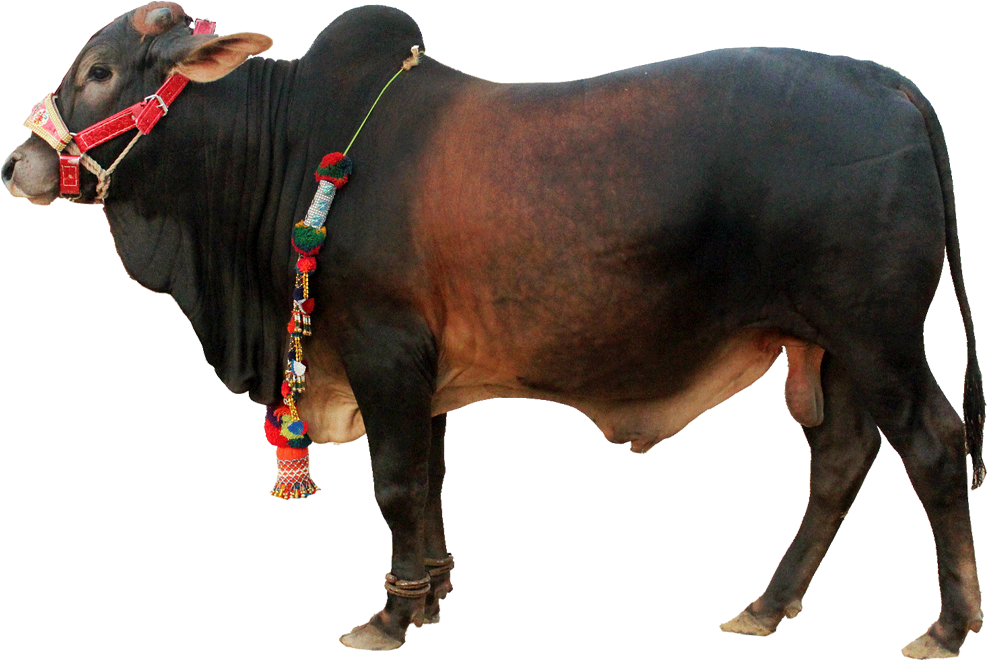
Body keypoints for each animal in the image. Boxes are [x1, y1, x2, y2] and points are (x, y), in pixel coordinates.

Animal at [3, 3, 983, 656]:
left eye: (100, 71)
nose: (17, 164)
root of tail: (887, 83)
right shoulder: (424, 370)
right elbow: (431, 485)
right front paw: (430, 591)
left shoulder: (383, 349)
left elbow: (397, 484)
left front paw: (389, 616)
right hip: (833, 346)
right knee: (842, 462)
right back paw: (765, 607)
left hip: (877, 335)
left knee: (933, 446)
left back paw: (947, 625)